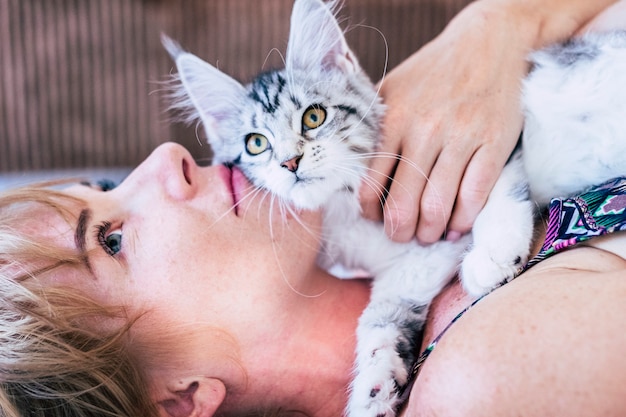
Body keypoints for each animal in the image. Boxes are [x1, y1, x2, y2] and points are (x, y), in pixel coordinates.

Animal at [162, 1, 624, 414]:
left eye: (313, 117)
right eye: (256, 143)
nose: (289, 162)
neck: (342, 208)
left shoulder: (492, 149)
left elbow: (500, 193)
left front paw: (492, 257)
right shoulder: (408, 267)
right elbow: (379, 320)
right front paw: (374, 387)